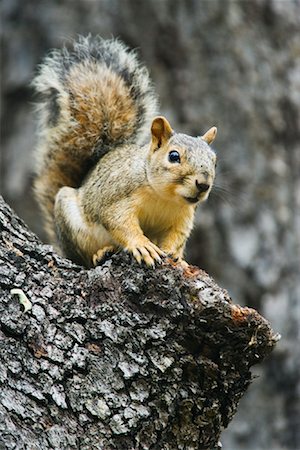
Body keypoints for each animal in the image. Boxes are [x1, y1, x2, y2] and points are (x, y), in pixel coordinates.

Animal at [32, 36, 216, 268]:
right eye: (173, 156)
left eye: (214, 161)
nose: (203, 184)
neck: (164, 197)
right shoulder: (118, 196)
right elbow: (119, 222)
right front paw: (142, 245)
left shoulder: (183, 217)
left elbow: (177, 237)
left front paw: (176, 257)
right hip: (70, 219)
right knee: (85, 257)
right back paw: (101, 252)